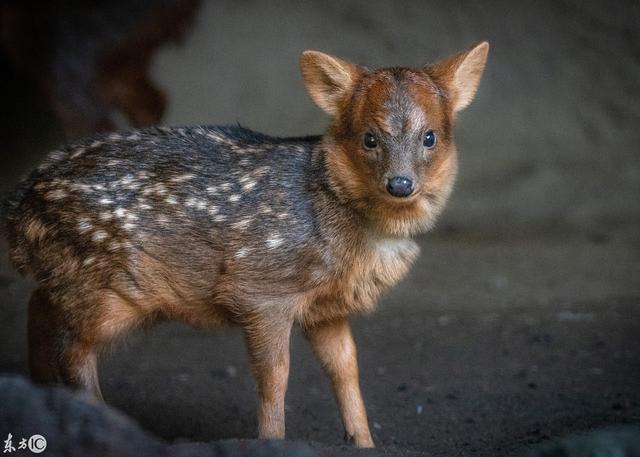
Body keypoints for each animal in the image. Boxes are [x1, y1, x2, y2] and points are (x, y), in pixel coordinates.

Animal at [2, 41, 488, 448]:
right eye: (370, 138)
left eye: (430, 137)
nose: (400, 184)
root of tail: (18, 210)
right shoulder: (262, 290)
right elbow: (275, 376)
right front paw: (272, 442)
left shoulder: (326, 308)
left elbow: (346, 368)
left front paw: (364, 442)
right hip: (102, 285)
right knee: (72, 350)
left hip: (74, 279)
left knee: (39, 310)